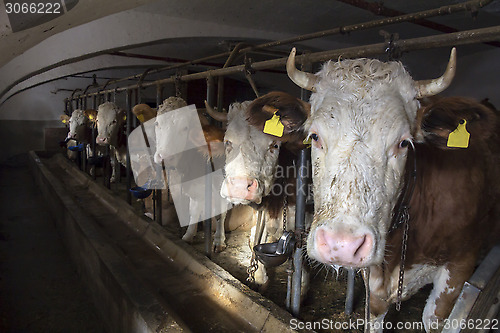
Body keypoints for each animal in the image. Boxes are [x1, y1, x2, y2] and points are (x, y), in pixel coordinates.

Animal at [286, 47, 500, 332]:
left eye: (403, 143)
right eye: (315, 136)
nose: (342, 245)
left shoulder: (460, 266)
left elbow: (434, 319)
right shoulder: (374, 279)